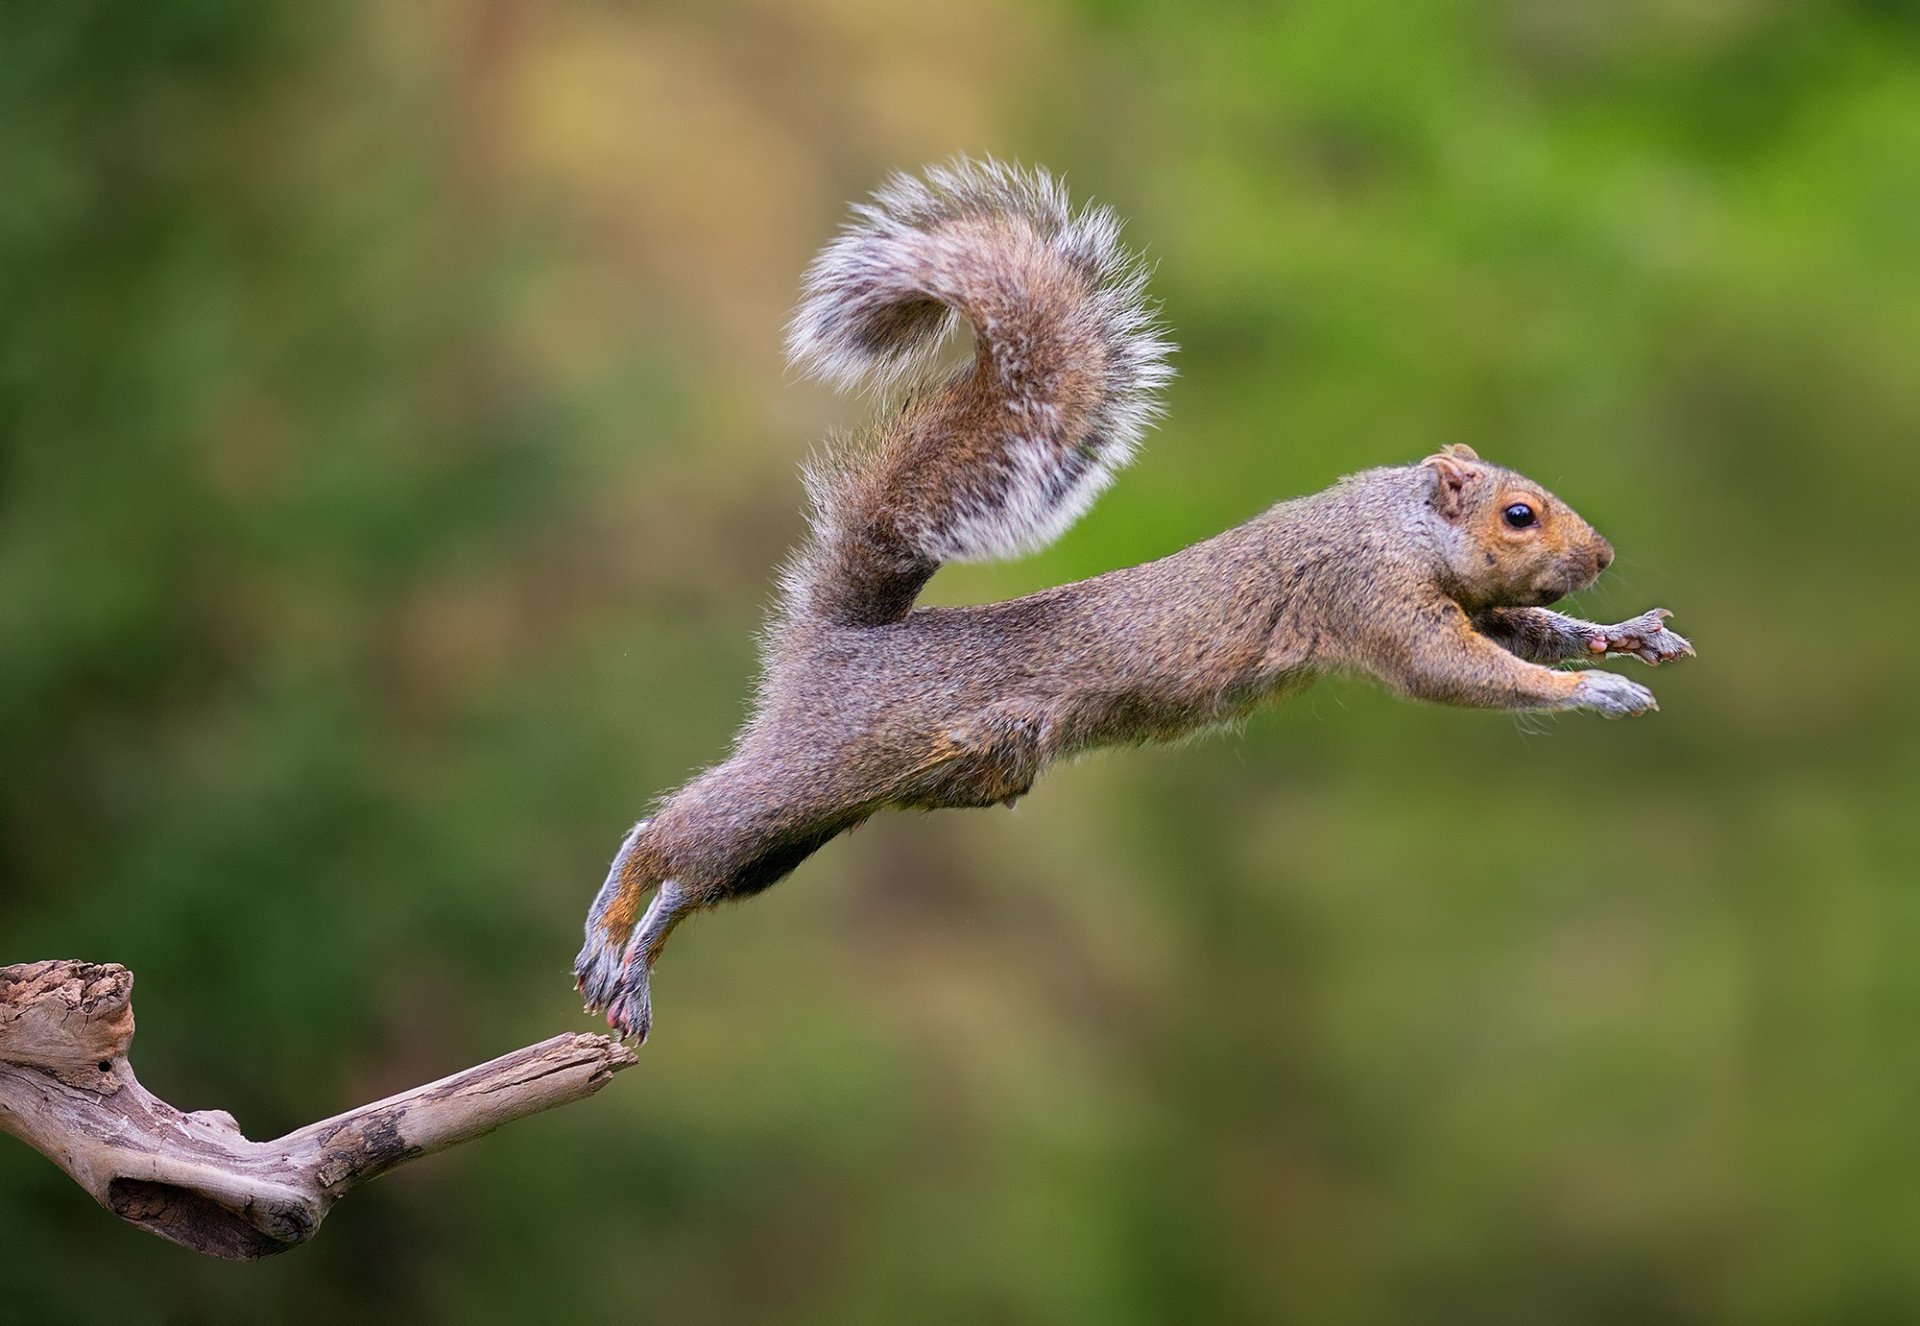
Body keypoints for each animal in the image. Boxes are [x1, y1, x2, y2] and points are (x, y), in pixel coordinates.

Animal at [574, 159, 1695, 1041]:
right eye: (1518, 514)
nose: (1602, 555)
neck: (1398, 524)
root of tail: (838, 640)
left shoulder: (1457, 597)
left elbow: (1524, 629)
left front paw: (1621, 636)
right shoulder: (1371, 595)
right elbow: (1466, 671)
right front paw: (1594, 694)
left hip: (834, 808)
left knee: (706, 871)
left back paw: (636, 958)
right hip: (826, 760)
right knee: (676, 829)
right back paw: (611, 915)